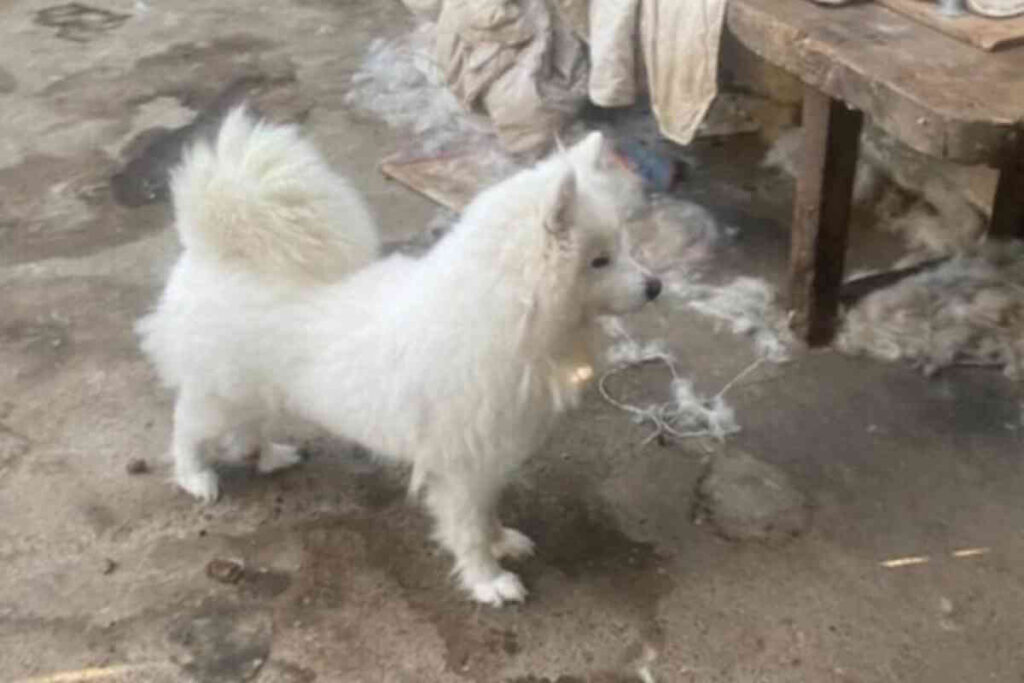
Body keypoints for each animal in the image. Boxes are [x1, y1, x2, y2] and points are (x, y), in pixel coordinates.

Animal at [138, 107, 663, 602]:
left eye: (623, 244)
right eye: (599, 261)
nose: (656, 286)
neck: (507, 314)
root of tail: (214, 250)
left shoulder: (489, 456)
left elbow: (488, 513)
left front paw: (502, 542)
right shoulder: (461, 464)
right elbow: (467, 528)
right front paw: (488, 581)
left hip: (256, 392)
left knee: (245, 429)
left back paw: (268, 454)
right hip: (221, 394)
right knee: (187, 427)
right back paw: (196, 477)